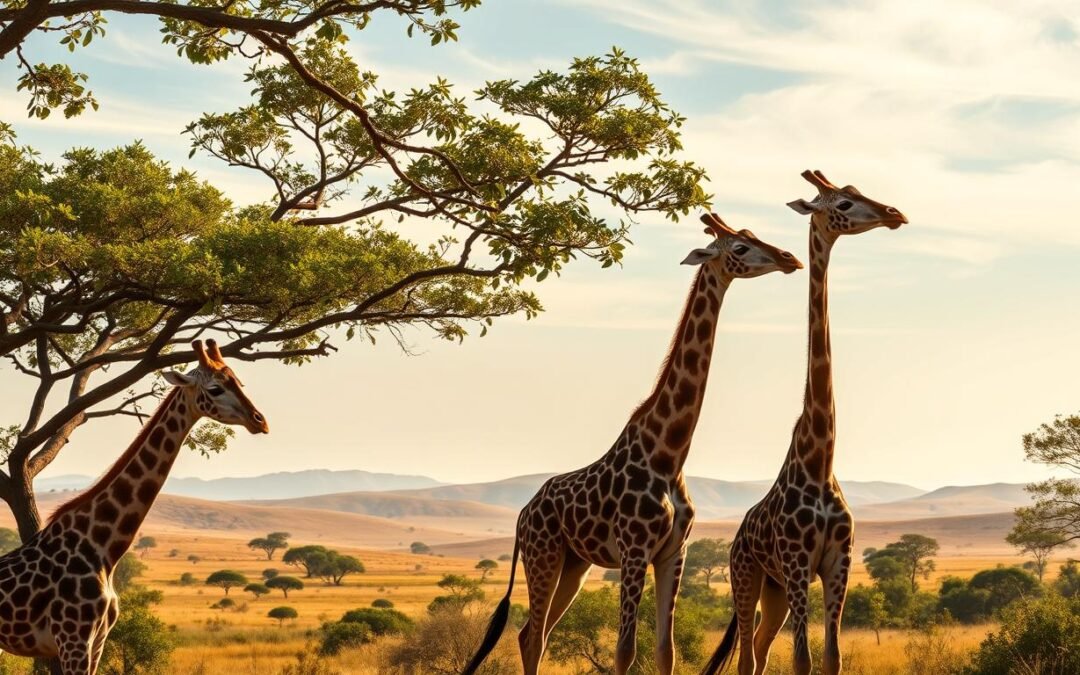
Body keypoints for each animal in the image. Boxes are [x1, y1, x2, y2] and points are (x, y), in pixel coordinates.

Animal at [0, 340, 268, 674]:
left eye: (239, 382)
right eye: (216, 388)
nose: (260, 421)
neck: (102, 548)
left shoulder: (97, 641)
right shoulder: (73, 639)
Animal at [463, 214, 803, 675]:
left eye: (752, 235)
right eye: (739, 248)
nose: (789, 258)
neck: (669, 453)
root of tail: (523, 514)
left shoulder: (674, 552)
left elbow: (666, 650)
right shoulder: (634, 550)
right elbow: (625, 649)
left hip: (574, 565)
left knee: (532, 634)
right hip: (543, 554)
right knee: (531, 637)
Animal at [701, 170, 907, 675]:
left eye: (858, 192)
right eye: (844, 204)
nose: (894, 213)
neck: (820, 460)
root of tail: (735, 537)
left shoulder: (838, 563)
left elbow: (832, 657)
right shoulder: (797, 564)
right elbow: (803, 660)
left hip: (773, 591)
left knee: (758, 649)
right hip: (748, 576)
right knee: (747, 657)